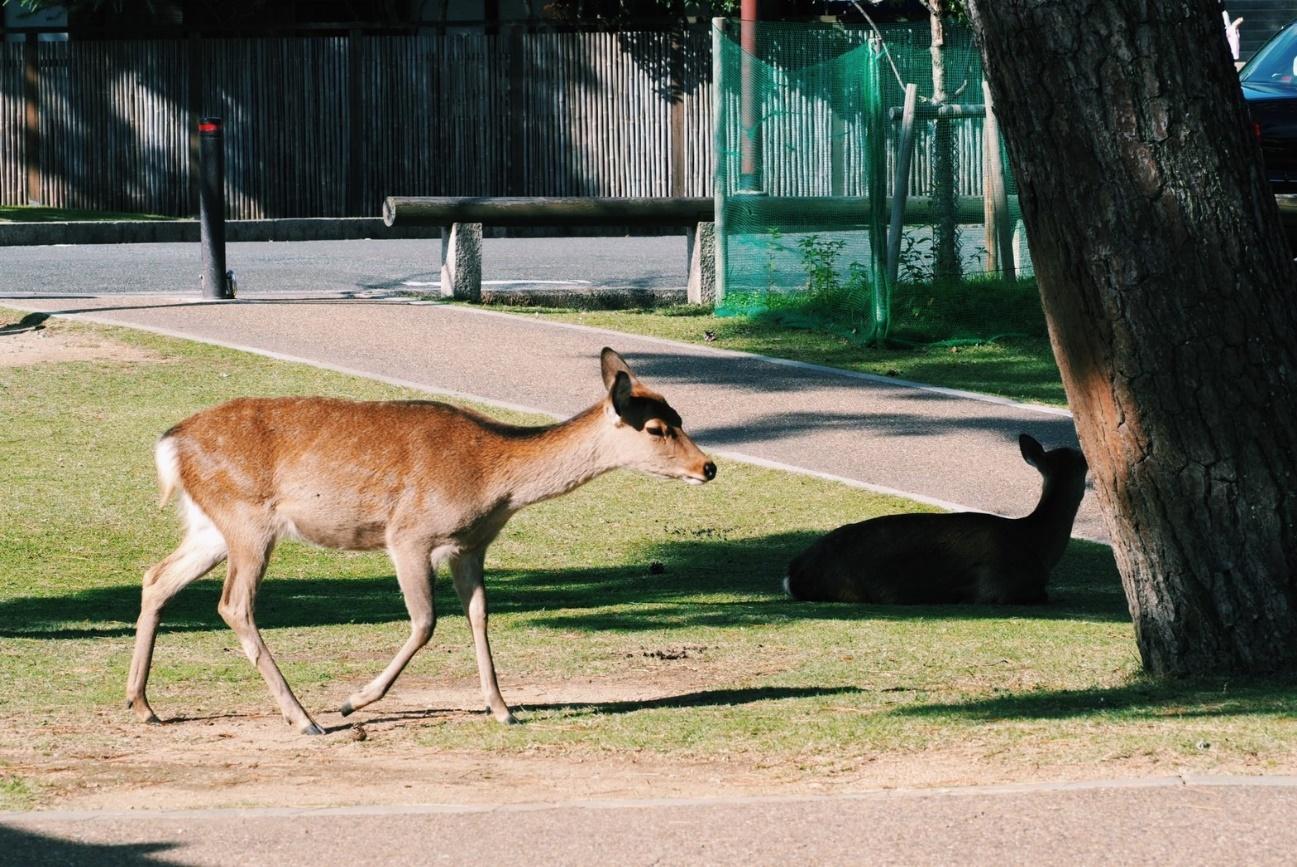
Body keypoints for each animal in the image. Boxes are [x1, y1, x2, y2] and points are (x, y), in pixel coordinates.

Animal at [126, 347, 715, 737]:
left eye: (681, 415)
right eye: (657, 428)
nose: (708, 467)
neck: (494, 480)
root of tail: (169, 443)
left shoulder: (470, 546)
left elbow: (479, 615)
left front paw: (504, 708)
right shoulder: (408, 534)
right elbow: (426, 622)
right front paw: (354, 702)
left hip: (211, 526)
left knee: (156, 578)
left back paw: (143, 704)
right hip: (248, 520)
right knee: (234, 604)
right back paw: (306, 718)